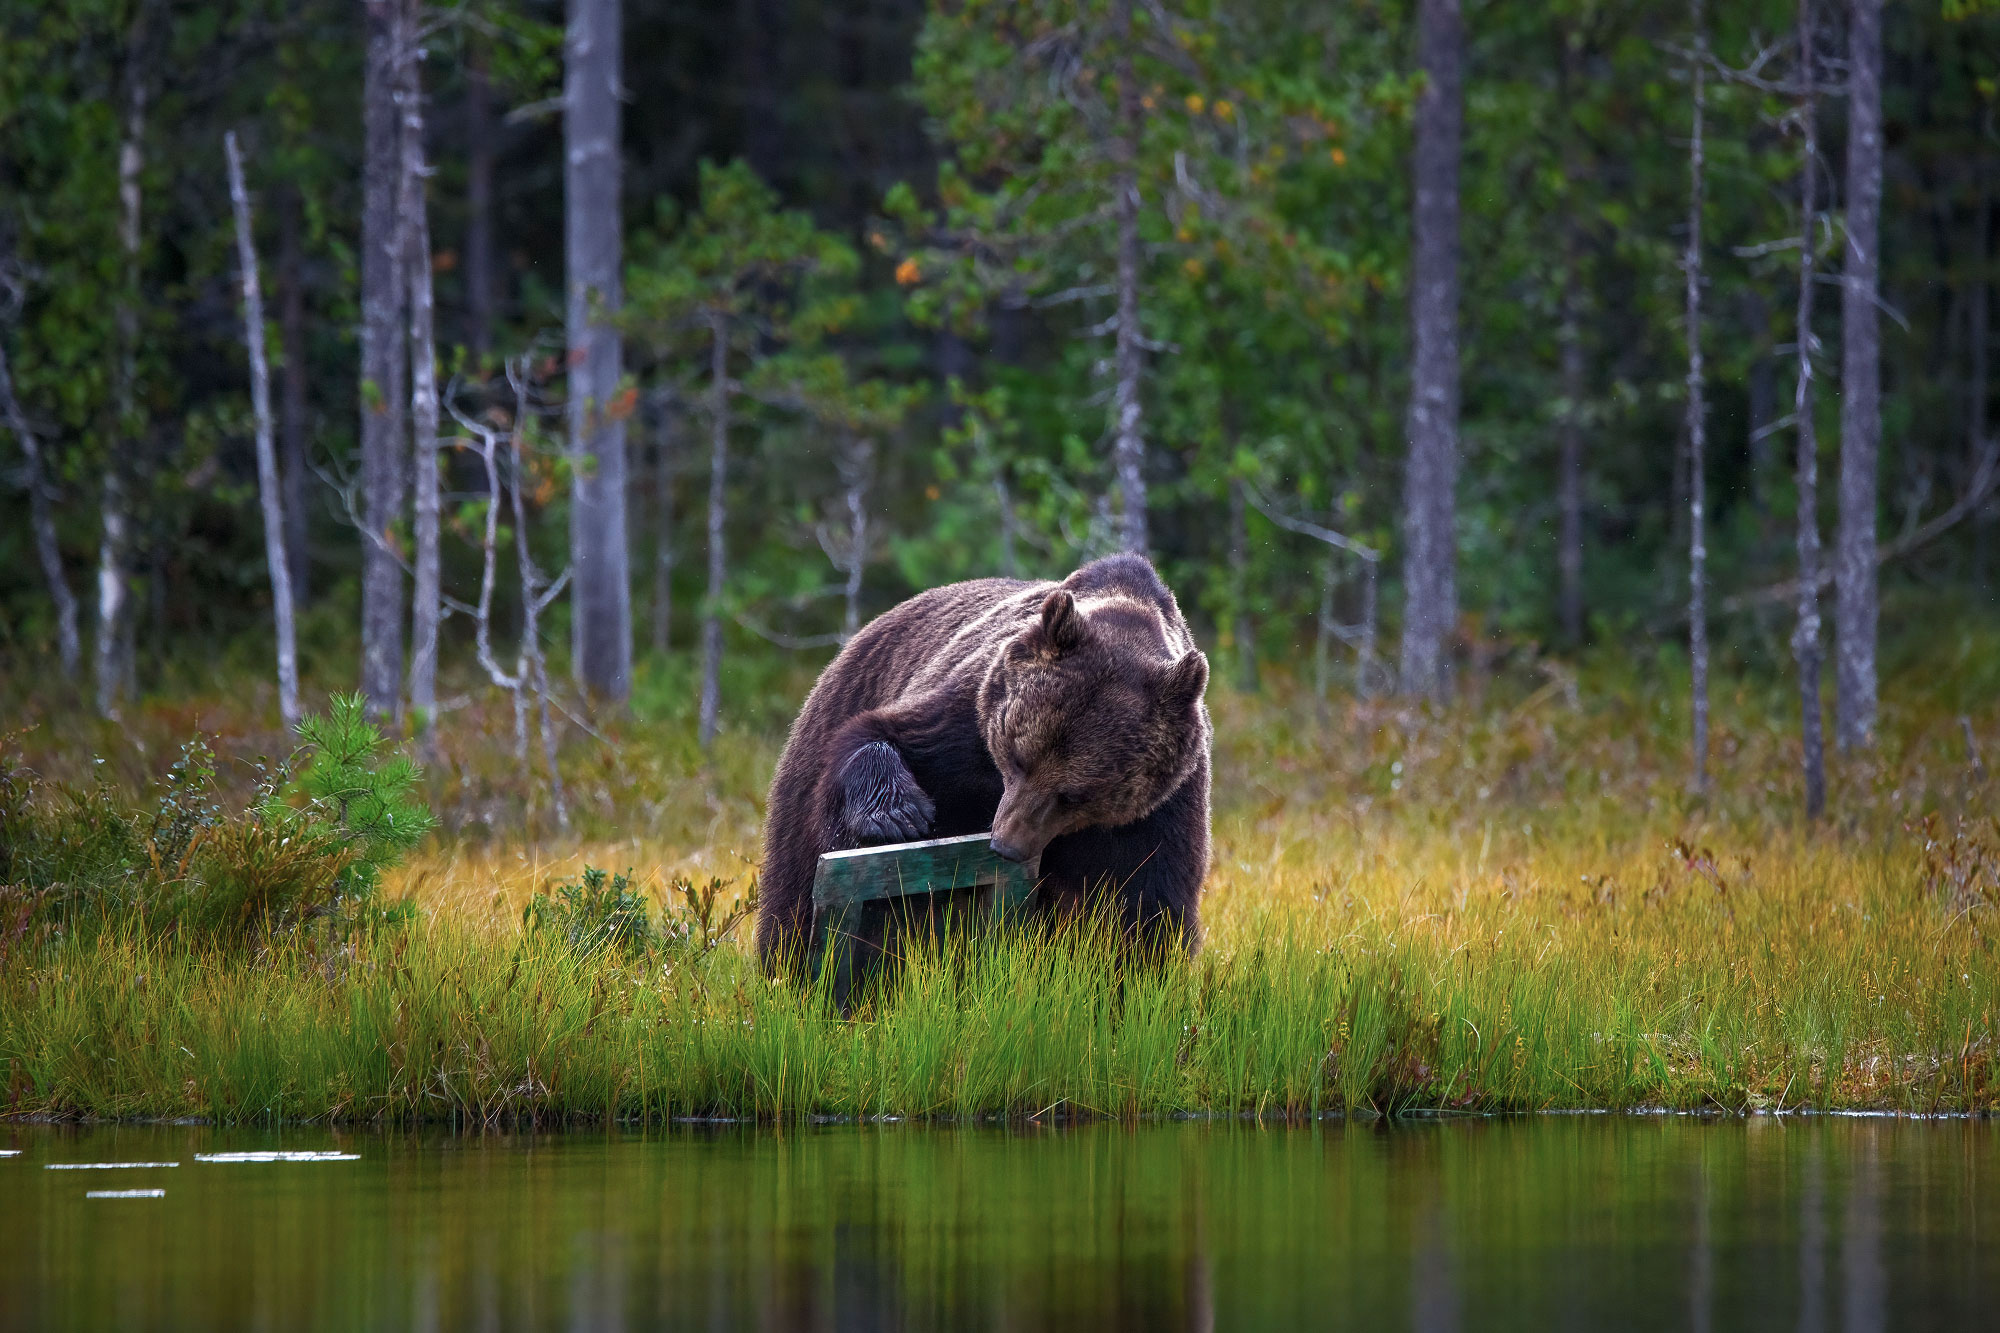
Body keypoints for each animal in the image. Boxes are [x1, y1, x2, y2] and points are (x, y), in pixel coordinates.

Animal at [752, 548, 1208, 964]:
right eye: (1019, 759)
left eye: (1075, 794)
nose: (1006, 845)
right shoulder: (967, 721)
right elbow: (882, 736)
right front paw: (898, 815)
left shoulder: (1159, 812)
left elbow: (1148, 911)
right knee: (793, 893)